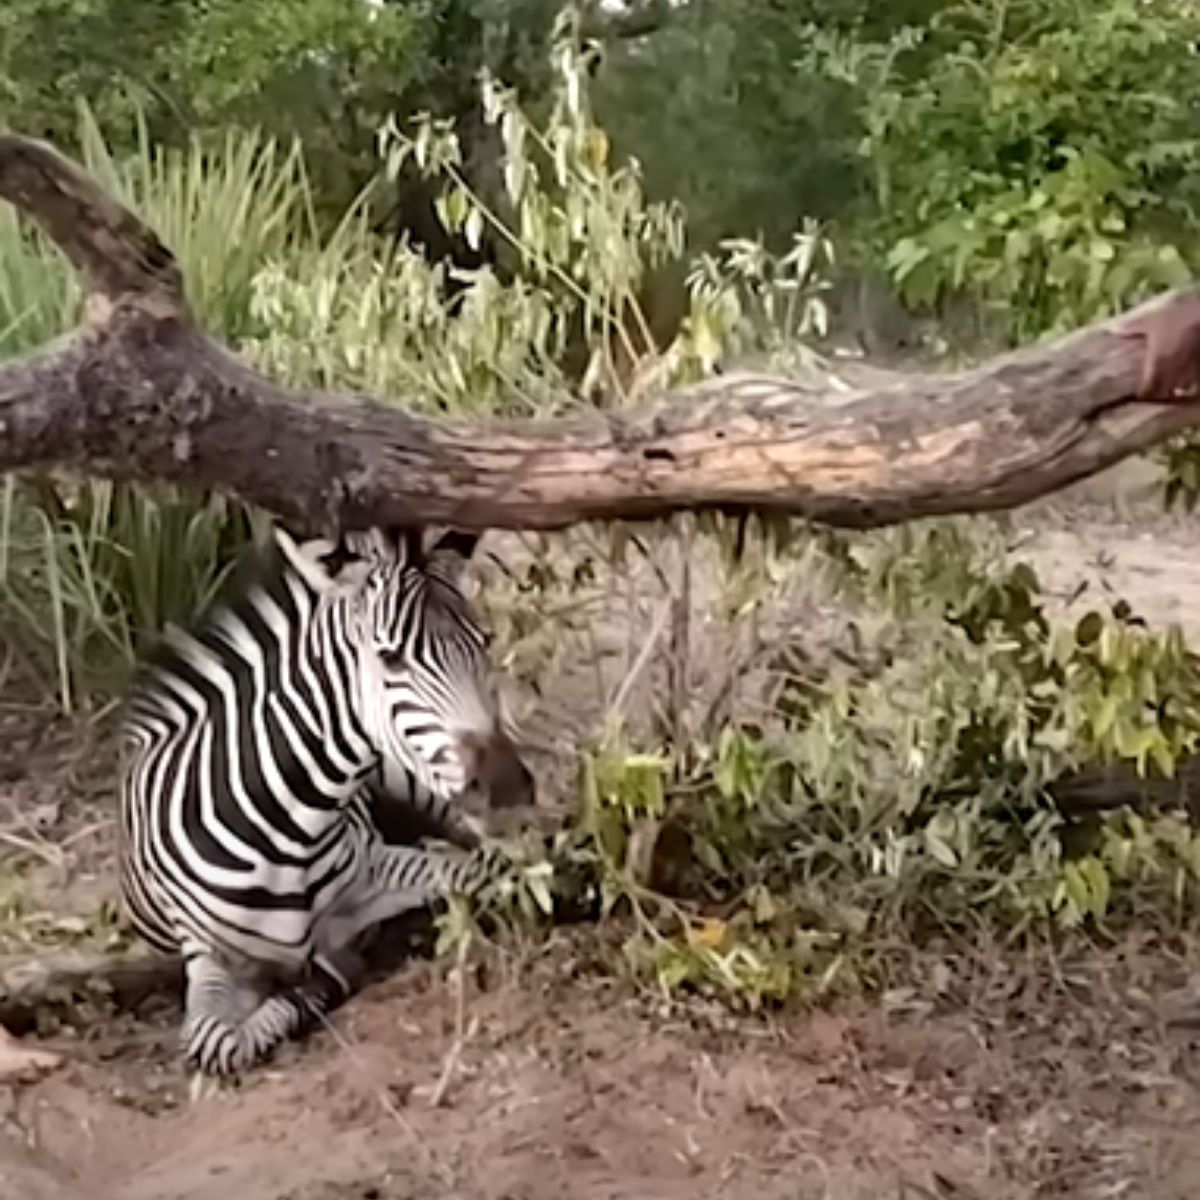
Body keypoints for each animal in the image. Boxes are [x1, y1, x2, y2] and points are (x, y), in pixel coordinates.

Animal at [118, 525, 535, 1080]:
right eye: (390, 658)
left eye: (484, 642)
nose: (507, 788)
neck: (283, 828)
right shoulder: (209, 952)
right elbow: (216, 1041)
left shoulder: (378, 869)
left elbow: (481, 872)